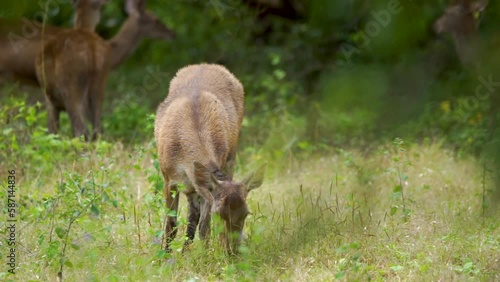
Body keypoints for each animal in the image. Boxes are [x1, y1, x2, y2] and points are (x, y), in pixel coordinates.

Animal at [155, 64, 266, 256]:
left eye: (246, 213)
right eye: (219, 213)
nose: (233, 249)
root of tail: (205, 64)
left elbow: (204, 229)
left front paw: (204, 257)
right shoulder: (167, 177)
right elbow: (171, 224)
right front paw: (164, 257)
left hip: (230, 158)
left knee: (193, 215)